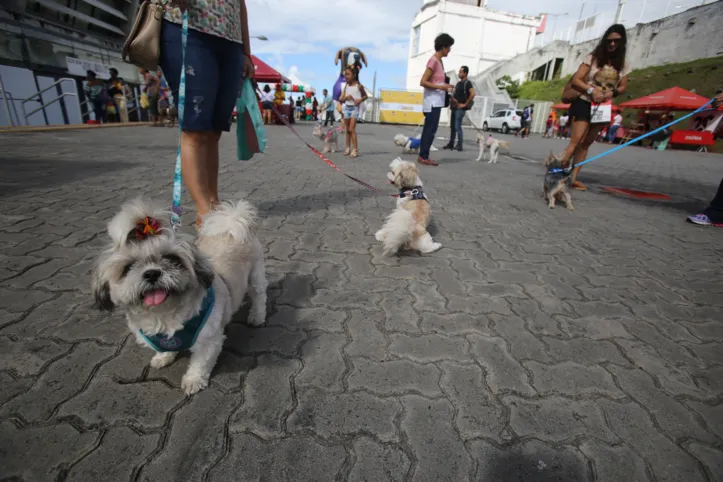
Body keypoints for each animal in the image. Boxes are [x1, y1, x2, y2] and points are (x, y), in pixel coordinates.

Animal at [92, 198, 268, 394]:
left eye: (172, 259)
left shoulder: (208, 341)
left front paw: (193, 380)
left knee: (259, 296)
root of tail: (230, 224)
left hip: (256, 275)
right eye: (128, 267)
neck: (164, 315)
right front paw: (163, 357)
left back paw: (257, 316)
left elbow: (200, 363)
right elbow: (164, 348)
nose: (152, 273)